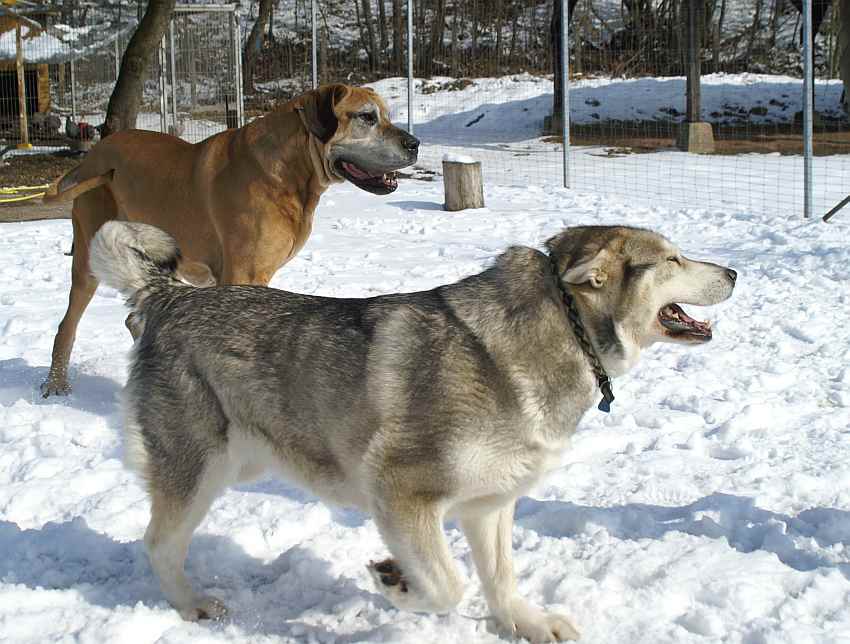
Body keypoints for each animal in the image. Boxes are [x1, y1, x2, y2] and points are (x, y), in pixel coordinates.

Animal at [39, 84, 418, 398]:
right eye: (366, 117)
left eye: (386, 115)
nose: (414, 144)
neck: (290, 169)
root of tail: (92, 154)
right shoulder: (242, 273)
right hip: (88, 257)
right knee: (66, 325)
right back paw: (57, 383)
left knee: (134, 319)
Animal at [89, 220, 732, 640]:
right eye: (673, 260)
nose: (732, 271)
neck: (561, 331)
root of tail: (168, 297)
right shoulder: (402, 493)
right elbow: (449, 585)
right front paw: (396, 582)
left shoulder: (490, 503)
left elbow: (499, 577)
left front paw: (522, 623)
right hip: (202, 469)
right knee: (159, 543)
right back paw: (191, 606)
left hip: (240, 462)